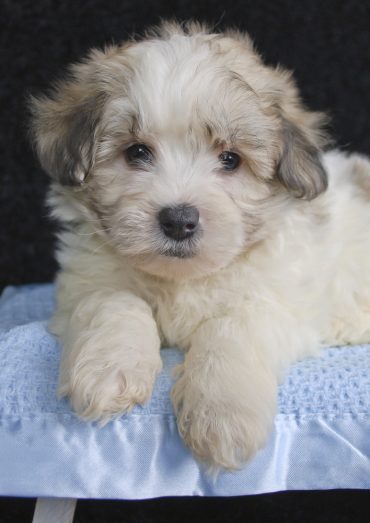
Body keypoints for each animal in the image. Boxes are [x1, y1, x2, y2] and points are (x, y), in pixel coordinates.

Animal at [30, 20, 370, 470]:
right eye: (136, 152)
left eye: (230, 159)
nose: (179, 220)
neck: (183, 279)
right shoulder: (87, 280)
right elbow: (115, 302)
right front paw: (109, 371)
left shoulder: (276, 301)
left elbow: (229, 328)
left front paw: (222, 415)